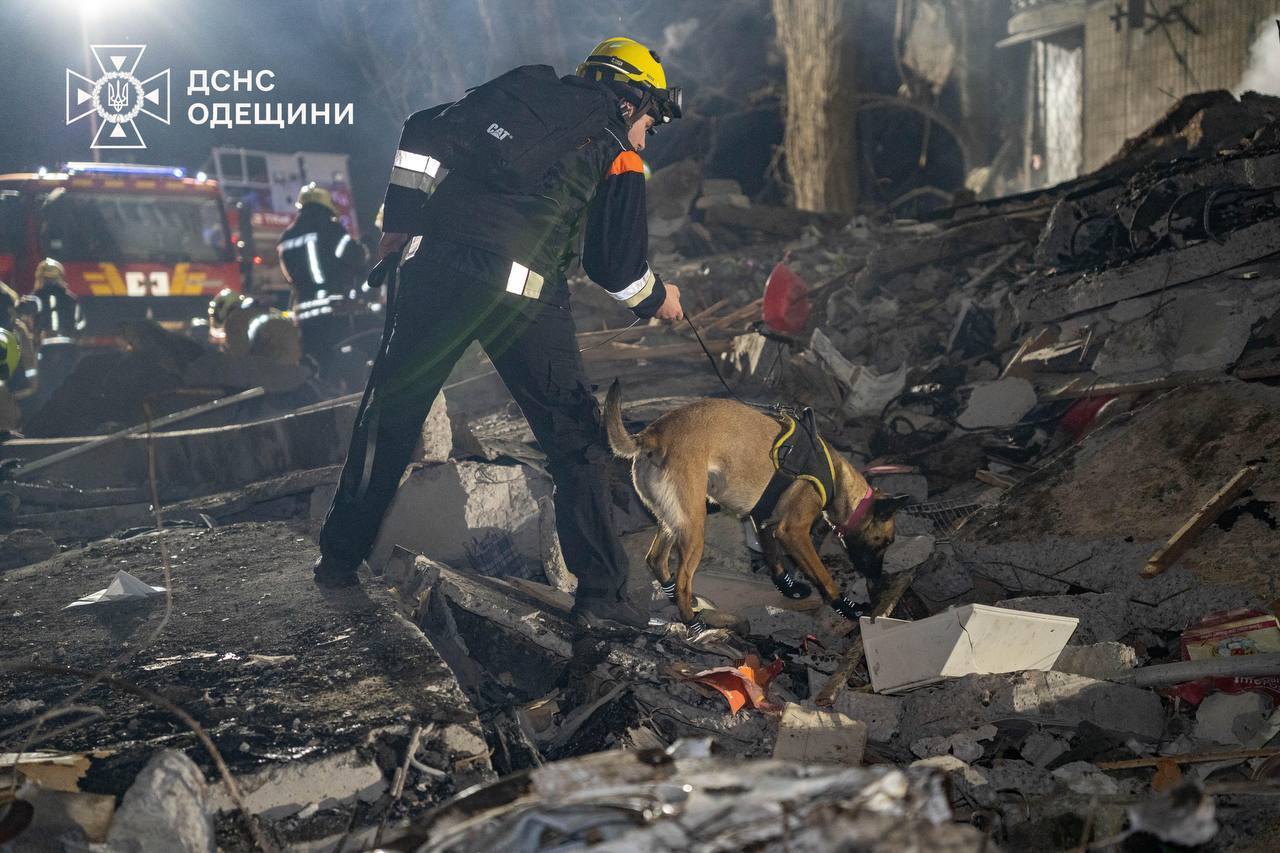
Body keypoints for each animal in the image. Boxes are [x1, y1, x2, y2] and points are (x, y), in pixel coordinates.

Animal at [601, 381, 911, 635]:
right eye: (885, 542)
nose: (878, 582)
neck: (835, 478)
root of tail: (651, 434)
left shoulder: (763, 519)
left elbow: (773, 557)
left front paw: (788, 586)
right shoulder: (793, 531)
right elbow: (823, 575)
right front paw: (845, 605)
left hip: (673, 520)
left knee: (655, 559)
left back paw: (678, 600)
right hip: (694, 525)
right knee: (681, 581)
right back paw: (694, 622)